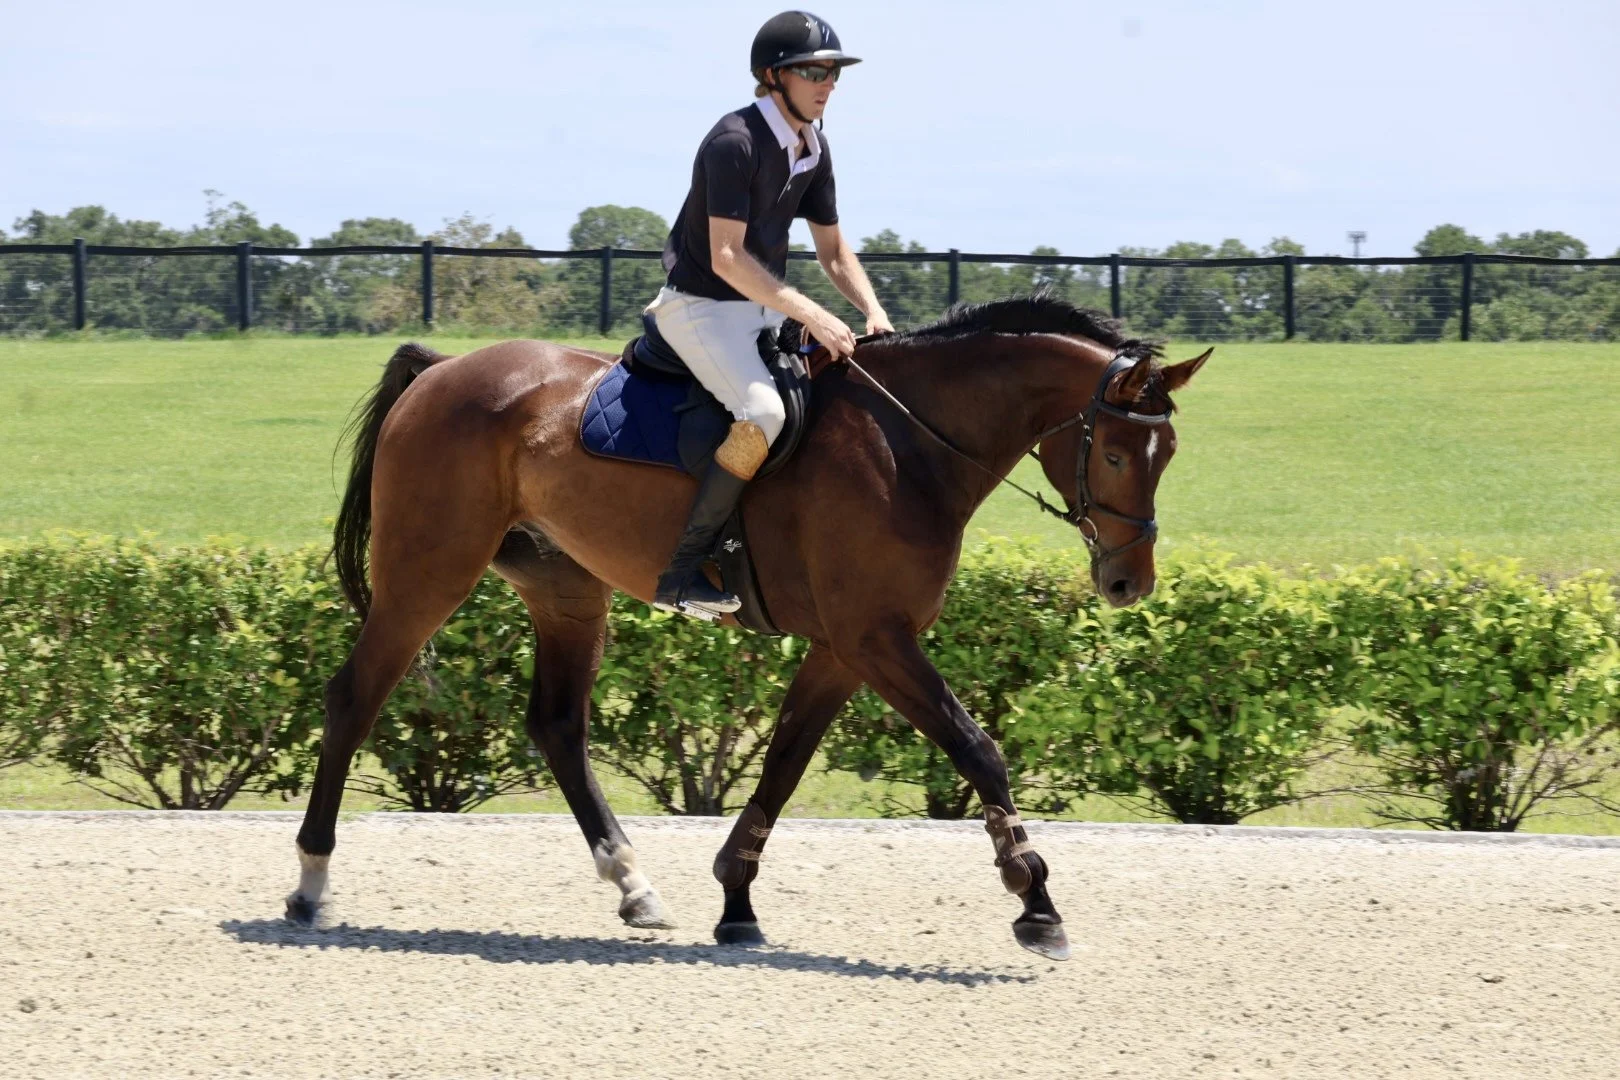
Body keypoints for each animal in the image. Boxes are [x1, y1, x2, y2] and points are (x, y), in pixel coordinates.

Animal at [285, 294, 1211, 960]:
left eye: (1167, 457)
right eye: (1117, 454)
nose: (1127, 583)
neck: (907, 441)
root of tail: (445, 369)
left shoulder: (845, 648)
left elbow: (783, 765)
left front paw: (735, 899)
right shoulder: (877, 639)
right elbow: (978, 749)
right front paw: (1036, 899)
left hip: (566, 591)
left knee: (556, 725)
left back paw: (633, 884)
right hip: (427, 575)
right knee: (354, 697)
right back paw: (310, 883)